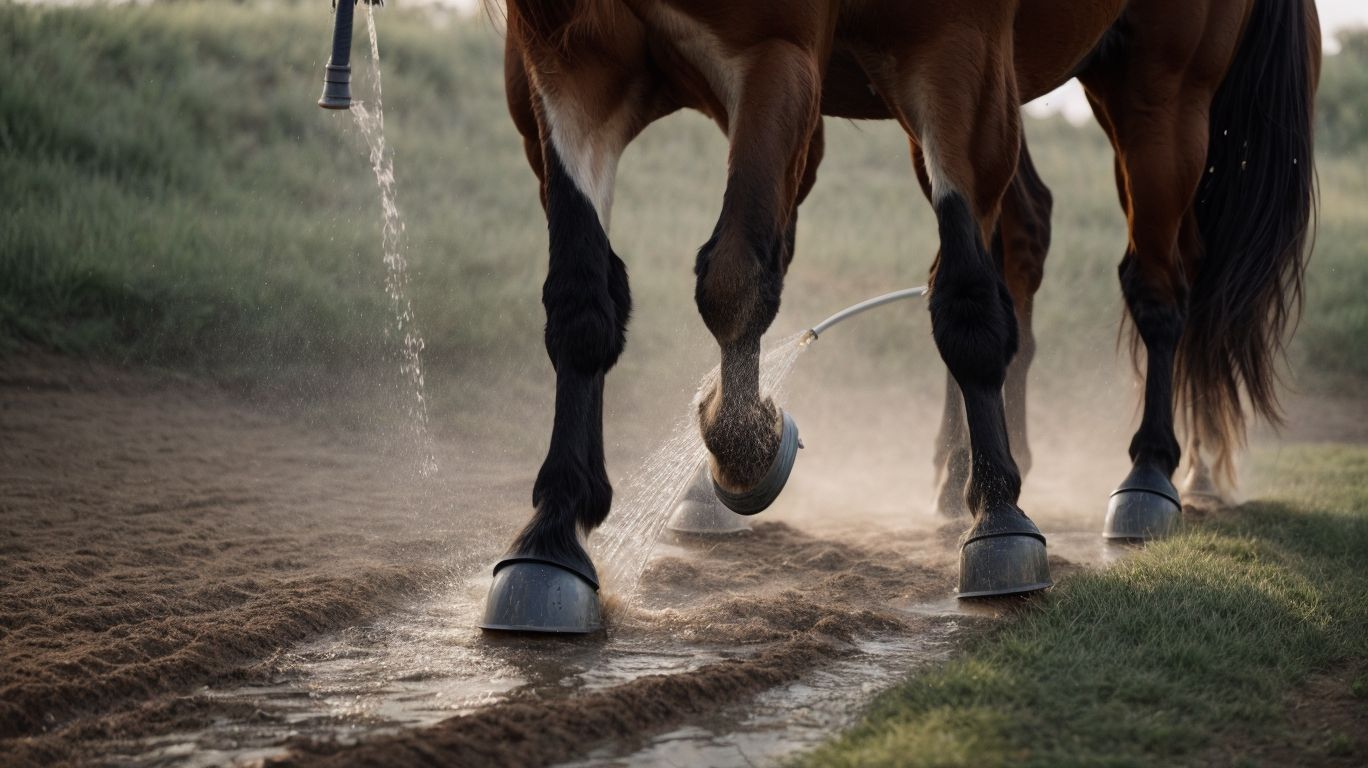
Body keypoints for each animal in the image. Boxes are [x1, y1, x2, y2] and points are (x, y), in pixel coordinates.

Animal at [487, 0, 1319, 626]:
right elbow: (584, 303)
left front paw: (1000, 525)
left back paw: (1148, 477)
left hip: (1158, 92)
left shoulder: (831, 54)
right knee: (1024, 236)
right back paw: (968, 473)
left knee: (1158, 285)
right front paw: (555, 534)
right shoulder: (564, 65)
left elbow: (768, 279)